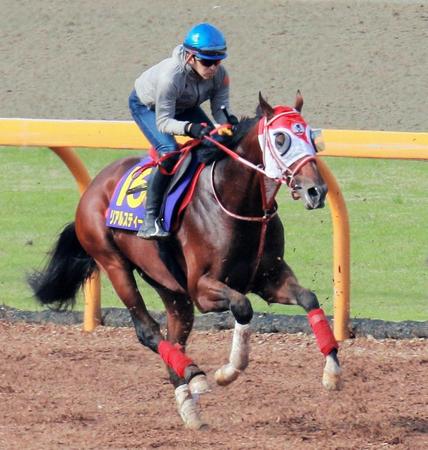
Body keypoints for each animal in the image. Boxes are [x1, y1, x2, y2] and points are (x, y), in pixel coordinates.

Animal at [28, 91, 342, 428]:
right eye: (280, 138)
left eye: (309, 134)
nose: (316, 190)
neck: (237, 202)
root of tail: (93, 187)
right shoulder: (202, 288)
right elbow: (242, 306)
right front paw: (228, 370)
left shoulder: (269, 279)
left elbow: (308, 299)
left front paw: (333, 371)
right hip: (113, 263)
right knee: (148, 331)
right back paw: (195, 373)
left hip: (169, 287)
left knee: (174, 335)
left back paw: (189, 407)